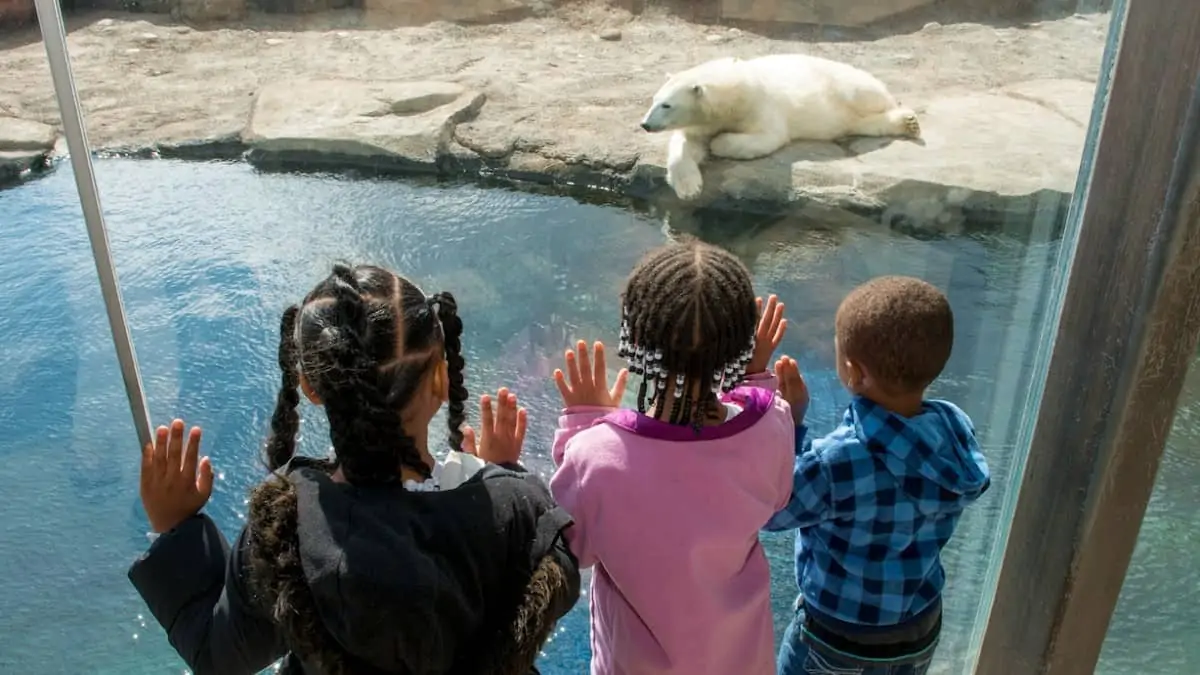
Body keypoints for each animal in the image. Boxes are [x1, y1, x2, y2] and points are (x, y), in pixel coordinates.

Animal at [643, 53, 921, 199]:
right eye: (654, 100)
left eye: (667, 105)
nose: (645, 124)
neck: (731, 91)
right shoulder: (702, 122)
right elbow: (686, 145)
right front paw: (689, 188)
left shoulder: (758, 104)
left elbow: (767, 136)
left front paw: (719, 142)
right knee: (859, 123)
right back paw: (907, 123)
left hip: (848, 85)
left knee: (868, 99)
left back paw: (907, 120)